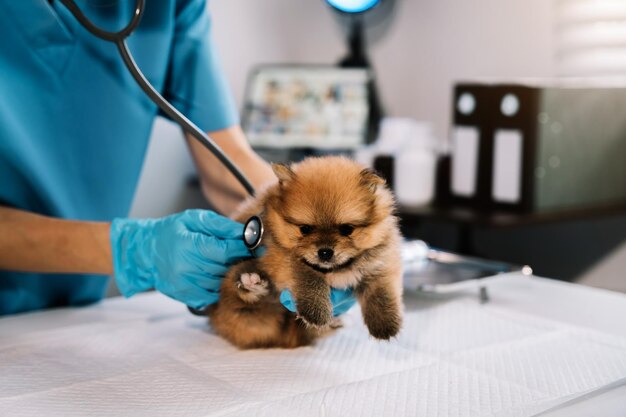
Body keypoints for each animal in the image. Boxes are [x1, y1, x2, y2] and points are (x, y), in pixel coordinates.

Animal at [207, 156, 402, 348]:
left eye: (347, 229)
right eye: (305, 229)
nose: (325, 252)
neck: (334, 269)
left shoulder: (382, 260)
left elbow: (381, 290)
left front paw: (384, 323)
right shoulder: (282, 258)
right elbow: (309, 277)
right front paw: (316, 311)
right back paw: (251, 282)